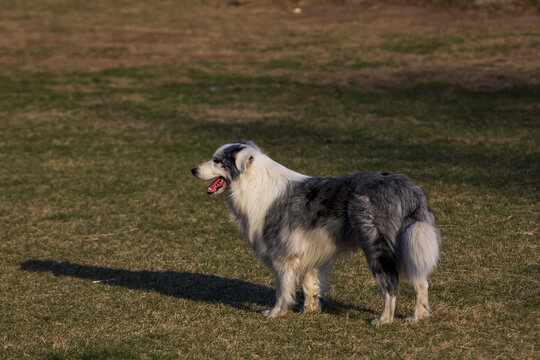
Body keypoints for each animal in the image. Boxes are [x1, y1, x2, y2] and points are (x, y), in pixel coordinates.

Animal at [192, 141, 440, 324]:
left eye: (217, 161)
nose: (193, 169)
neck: (252, 183)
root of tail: (408, 187)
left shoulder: (281, 253)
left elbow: (282, 289)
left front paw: (275, 313)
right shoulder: (308, 249)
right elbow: (309, 283)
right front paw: (309, 310)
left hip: (377, 246)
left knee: (390, 284)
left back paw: (384, 319)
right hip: (410, 244)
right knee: (420, 282)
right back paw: (417, 317)